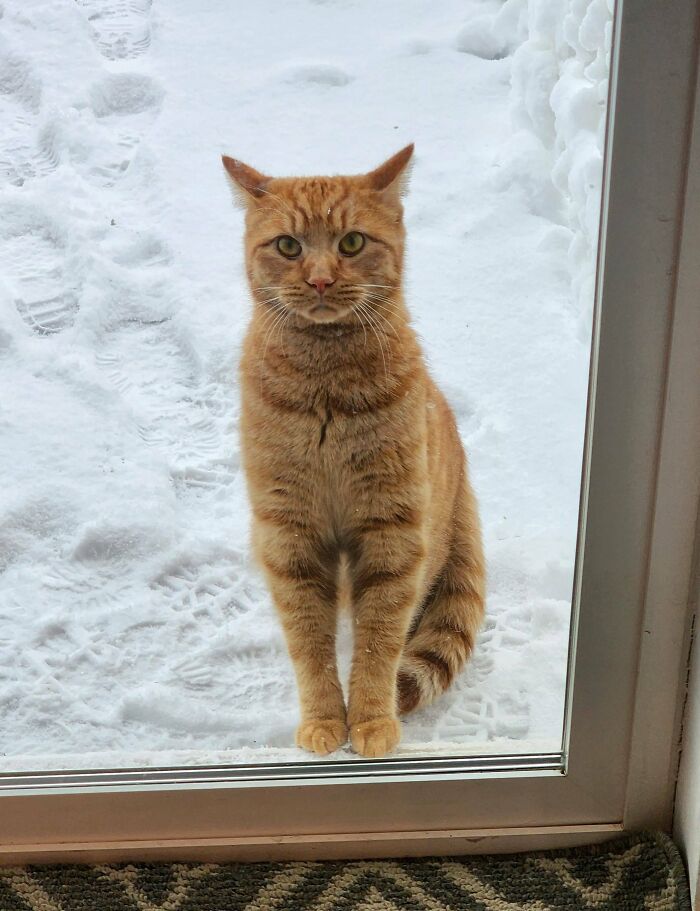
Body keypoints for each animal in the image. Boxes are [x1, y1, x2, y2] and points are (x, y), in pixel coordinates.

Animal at [221, 144, 484, 756]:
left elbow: (378, 643)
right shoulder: (289, 535)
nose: (320, 280)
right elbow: (310, 644)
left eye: (352, 243)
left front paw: (369, 722)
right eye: (288, 246)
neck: (327, 390)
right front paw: (323, 721)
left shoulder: (393, 533)